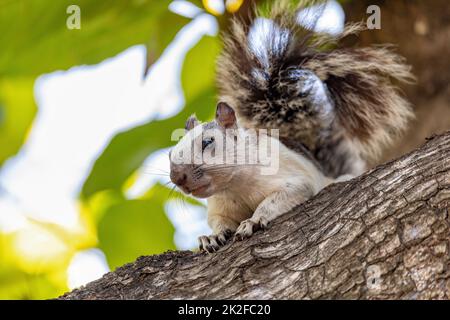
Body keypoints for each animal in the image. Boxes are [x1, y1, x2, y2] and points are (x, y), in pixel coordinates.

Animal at [168, 1, 412, 252]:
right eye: (170, 153)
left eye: (208, 142)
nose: (177, 178)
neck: (236, 186)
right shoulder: (220, 206)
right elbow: (219, 221)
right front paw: (211, 237)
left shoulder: (295, 181)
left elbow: (275, 200)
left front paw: (253, 221)